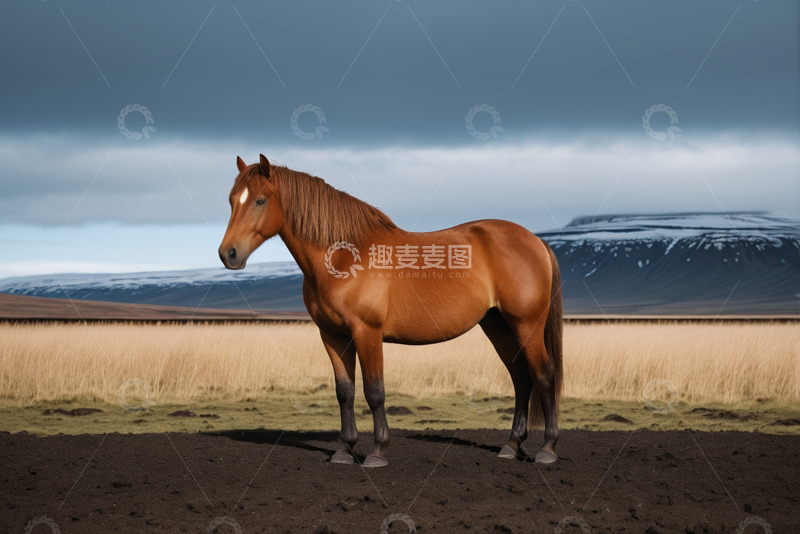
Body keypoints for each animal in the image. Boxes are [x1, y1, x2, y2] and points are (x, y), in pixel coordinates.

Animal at [219, 154, 563, 468]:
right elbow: (345, 391)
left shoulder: (367, 333)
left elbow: (374, 391)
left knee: (544, 375)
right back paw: (511, 445)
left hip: (526, 324)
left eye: (260, 200)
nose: (228, 254)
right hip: (498, 325)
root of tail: (536, 241)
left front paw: (377, 452)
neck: (345, 258)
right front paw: (344, 450)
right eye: (232, 200)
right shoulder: (331, 336)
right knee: (521, 378)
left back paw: (547, 448)